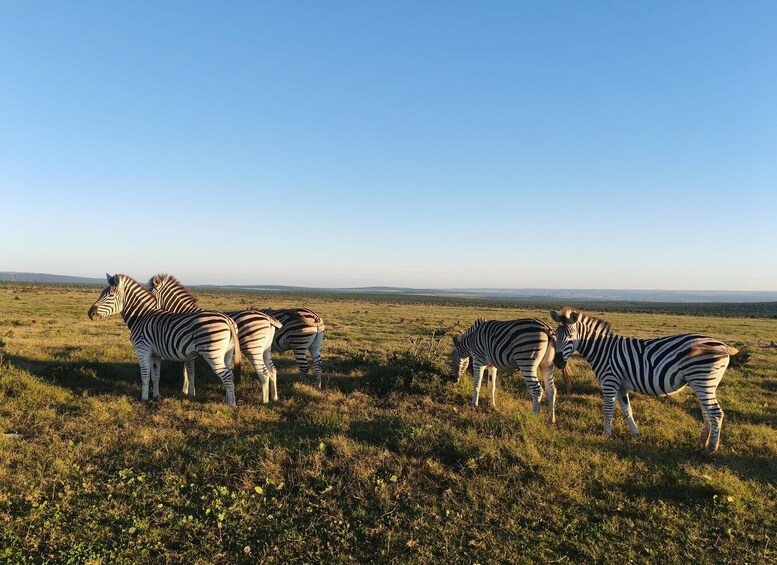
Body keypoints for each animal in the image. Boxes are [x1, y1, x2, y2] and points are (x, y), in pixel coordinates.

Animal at [88, 274, 241, 406]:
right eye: (101, 294)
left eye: (110, 296)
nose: (90, 313)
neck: (141, 316)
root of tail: (228, 320)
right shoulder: (156, 354)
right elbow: (156, 376)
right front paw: (156, 396)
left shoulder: (143, 350)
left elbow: (145, 376)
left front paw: (144, 399)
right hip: (227, 354)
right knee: (230, 374)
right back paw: (228, 401)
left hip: (212, 353)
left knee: (227, 376)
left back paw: (231, 405)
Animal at [148, 274, 283, 404]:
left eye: (151, 294)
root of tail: (267, 317)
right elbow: (188, 371)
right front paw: (187, 390)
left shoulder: (186, 349)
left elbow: (187, 371)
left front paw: (186, 391)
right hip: (265, 349)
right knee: (272, 370)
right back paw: (274, 397)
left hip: (253, 348)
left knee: (264, 372)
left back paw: (264, 400)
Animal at [551, 307, 739, 454]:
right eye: (555, 334)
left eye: (571, 336)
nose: (558, 362)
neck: (603, 349)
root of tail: (723, 345)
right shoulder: (621, 385)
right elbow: (627, 411)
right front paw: (635, 435)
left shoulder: (610, 382)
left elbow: (608, 410)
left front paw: (606, 435)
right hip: (702, 383)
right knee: (708, 413)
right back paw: (701, 444)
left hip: (703, 380)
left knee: (716, 413)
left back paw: (711, 449)